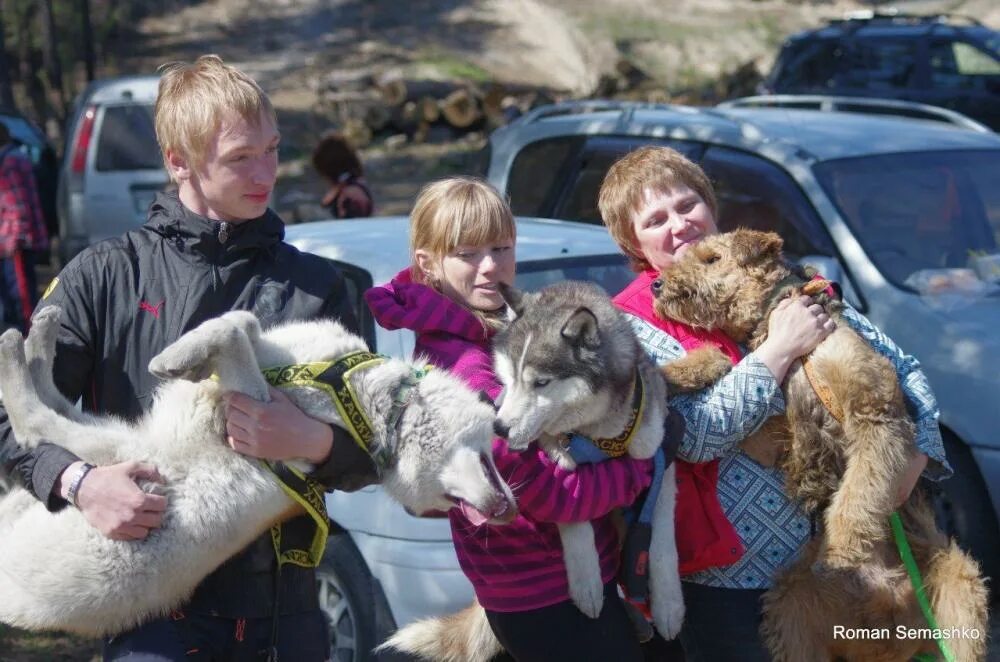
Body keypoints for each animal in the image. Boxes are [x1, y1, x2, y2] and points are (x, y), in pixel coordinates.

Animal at [0, 306, 516, 640]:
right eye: (450, 502)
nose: (502, 513)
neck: (374, 406)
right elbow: (241, 320)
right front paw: (186, 354)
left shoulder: (254, 405)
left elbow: (234, 334)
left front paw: (177, 359)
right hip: (121, 445)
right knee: (46, 417)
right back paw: (38, 333)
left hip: (126, 452)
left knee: (35, 421)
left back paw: (21, 345)